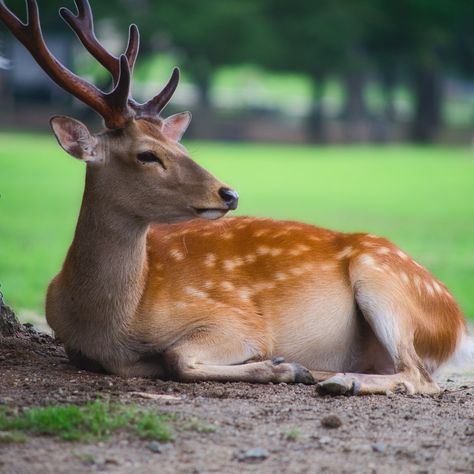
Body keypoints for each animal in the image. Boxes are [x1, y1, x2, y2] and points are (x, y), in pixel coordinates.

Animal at [1, 0, 472, 396]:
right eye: (147, 154)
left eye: (180, 146)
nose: (229, 193)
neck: (109, 323)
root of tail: (455, 318)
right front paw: (288, 366)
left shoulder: (236, 318)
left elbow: (178, 356)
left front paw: (282, 366)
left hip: (384, 279)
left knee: (422, 377)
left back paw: (340, 380)